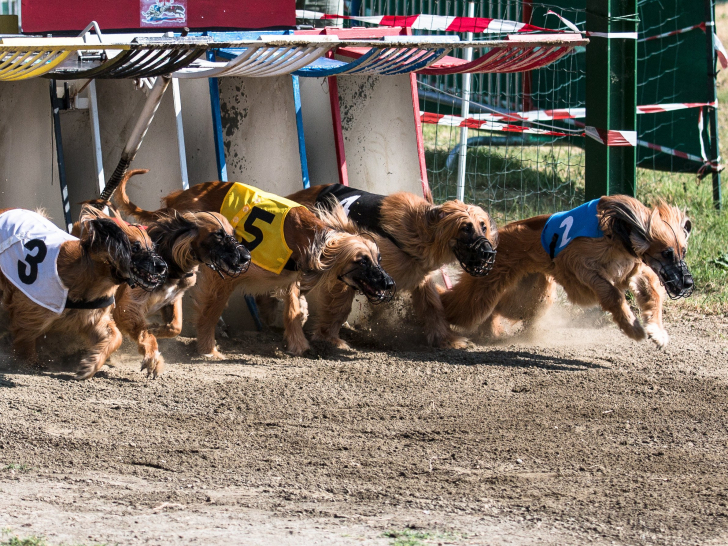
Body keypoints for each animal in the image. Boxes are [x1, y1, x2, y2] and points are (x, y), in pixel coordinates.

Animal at [0, 204, 166, 378]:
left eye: (153, 247)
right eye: (135, 247)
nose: (163, 266)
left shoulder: (93, 317)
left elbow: (116, 336)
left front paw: (90, 364)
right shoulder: (31, 311)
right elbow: (25, 337)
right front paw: (27, 364)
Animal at [108, 168, 253, 376]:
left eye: (233, 234)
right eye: (218, 234)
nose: (246, 257)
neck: (169, 261)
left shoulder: (173, 297)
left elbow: (175, 326)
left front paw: (156, 328)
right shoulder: (128, 305)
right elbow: (143, 332)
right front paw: (152, 357)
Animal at [128, 172, 396, 354]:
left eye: (379, 259)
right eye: (362, 261)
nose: (389, 283)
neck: (307, 238)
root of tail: (177, 198)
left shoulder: (290, 277)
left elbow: (293, 310)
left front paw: (298, 342)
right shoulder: (228, 275)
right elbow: (210, 311)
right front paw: (208, 348)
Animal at [288, 185, 498, 348]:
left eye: (483, 226)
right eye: (465, 228)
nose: (489, 253)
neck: (421, 230)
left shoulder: (420, 277)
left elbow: (432, 307)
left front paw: (446, 339)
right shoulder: (353, 263)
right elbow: (339, 307)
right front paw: (329, 338)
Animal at [440, 196, 692, 346]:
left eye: (684, 251)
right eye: (667, 252)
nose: (688, 283)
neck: (619, 234)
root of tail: (495, 239)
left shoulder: (633, 269)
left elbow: (652, 293)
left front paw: (657, 331)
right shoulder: (579, 265)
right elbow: (612, 293)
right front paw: (633, 327)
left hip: (531, 295)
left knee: (498, 309)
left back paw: (490, 331)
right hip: (487, 286)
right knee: (458, 305)